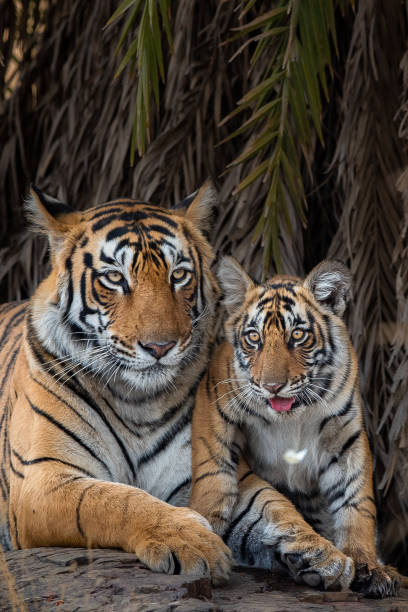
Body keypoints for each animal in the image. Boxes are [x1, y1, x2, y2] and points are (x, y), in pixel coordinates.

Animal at [0, 185, 356, 588]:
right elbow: (115, 501)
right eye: (114, 278)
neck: (137, 400)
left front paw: (322, 552)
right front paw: (192, 540)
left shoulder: (213, 468)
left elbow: (273, 506)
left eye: (179, 275)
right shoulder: (41, 479)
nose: (160, 347)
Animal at [190, 256, 402, 596]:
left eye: (298, 336)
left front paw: (368, 564)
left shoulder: (347, 438)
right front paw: (205, 519)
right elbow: (213, 465)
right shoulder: (214, 395)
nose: (272, 386)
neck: (293, 414)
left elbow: (357, 504)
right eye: (254, 338)